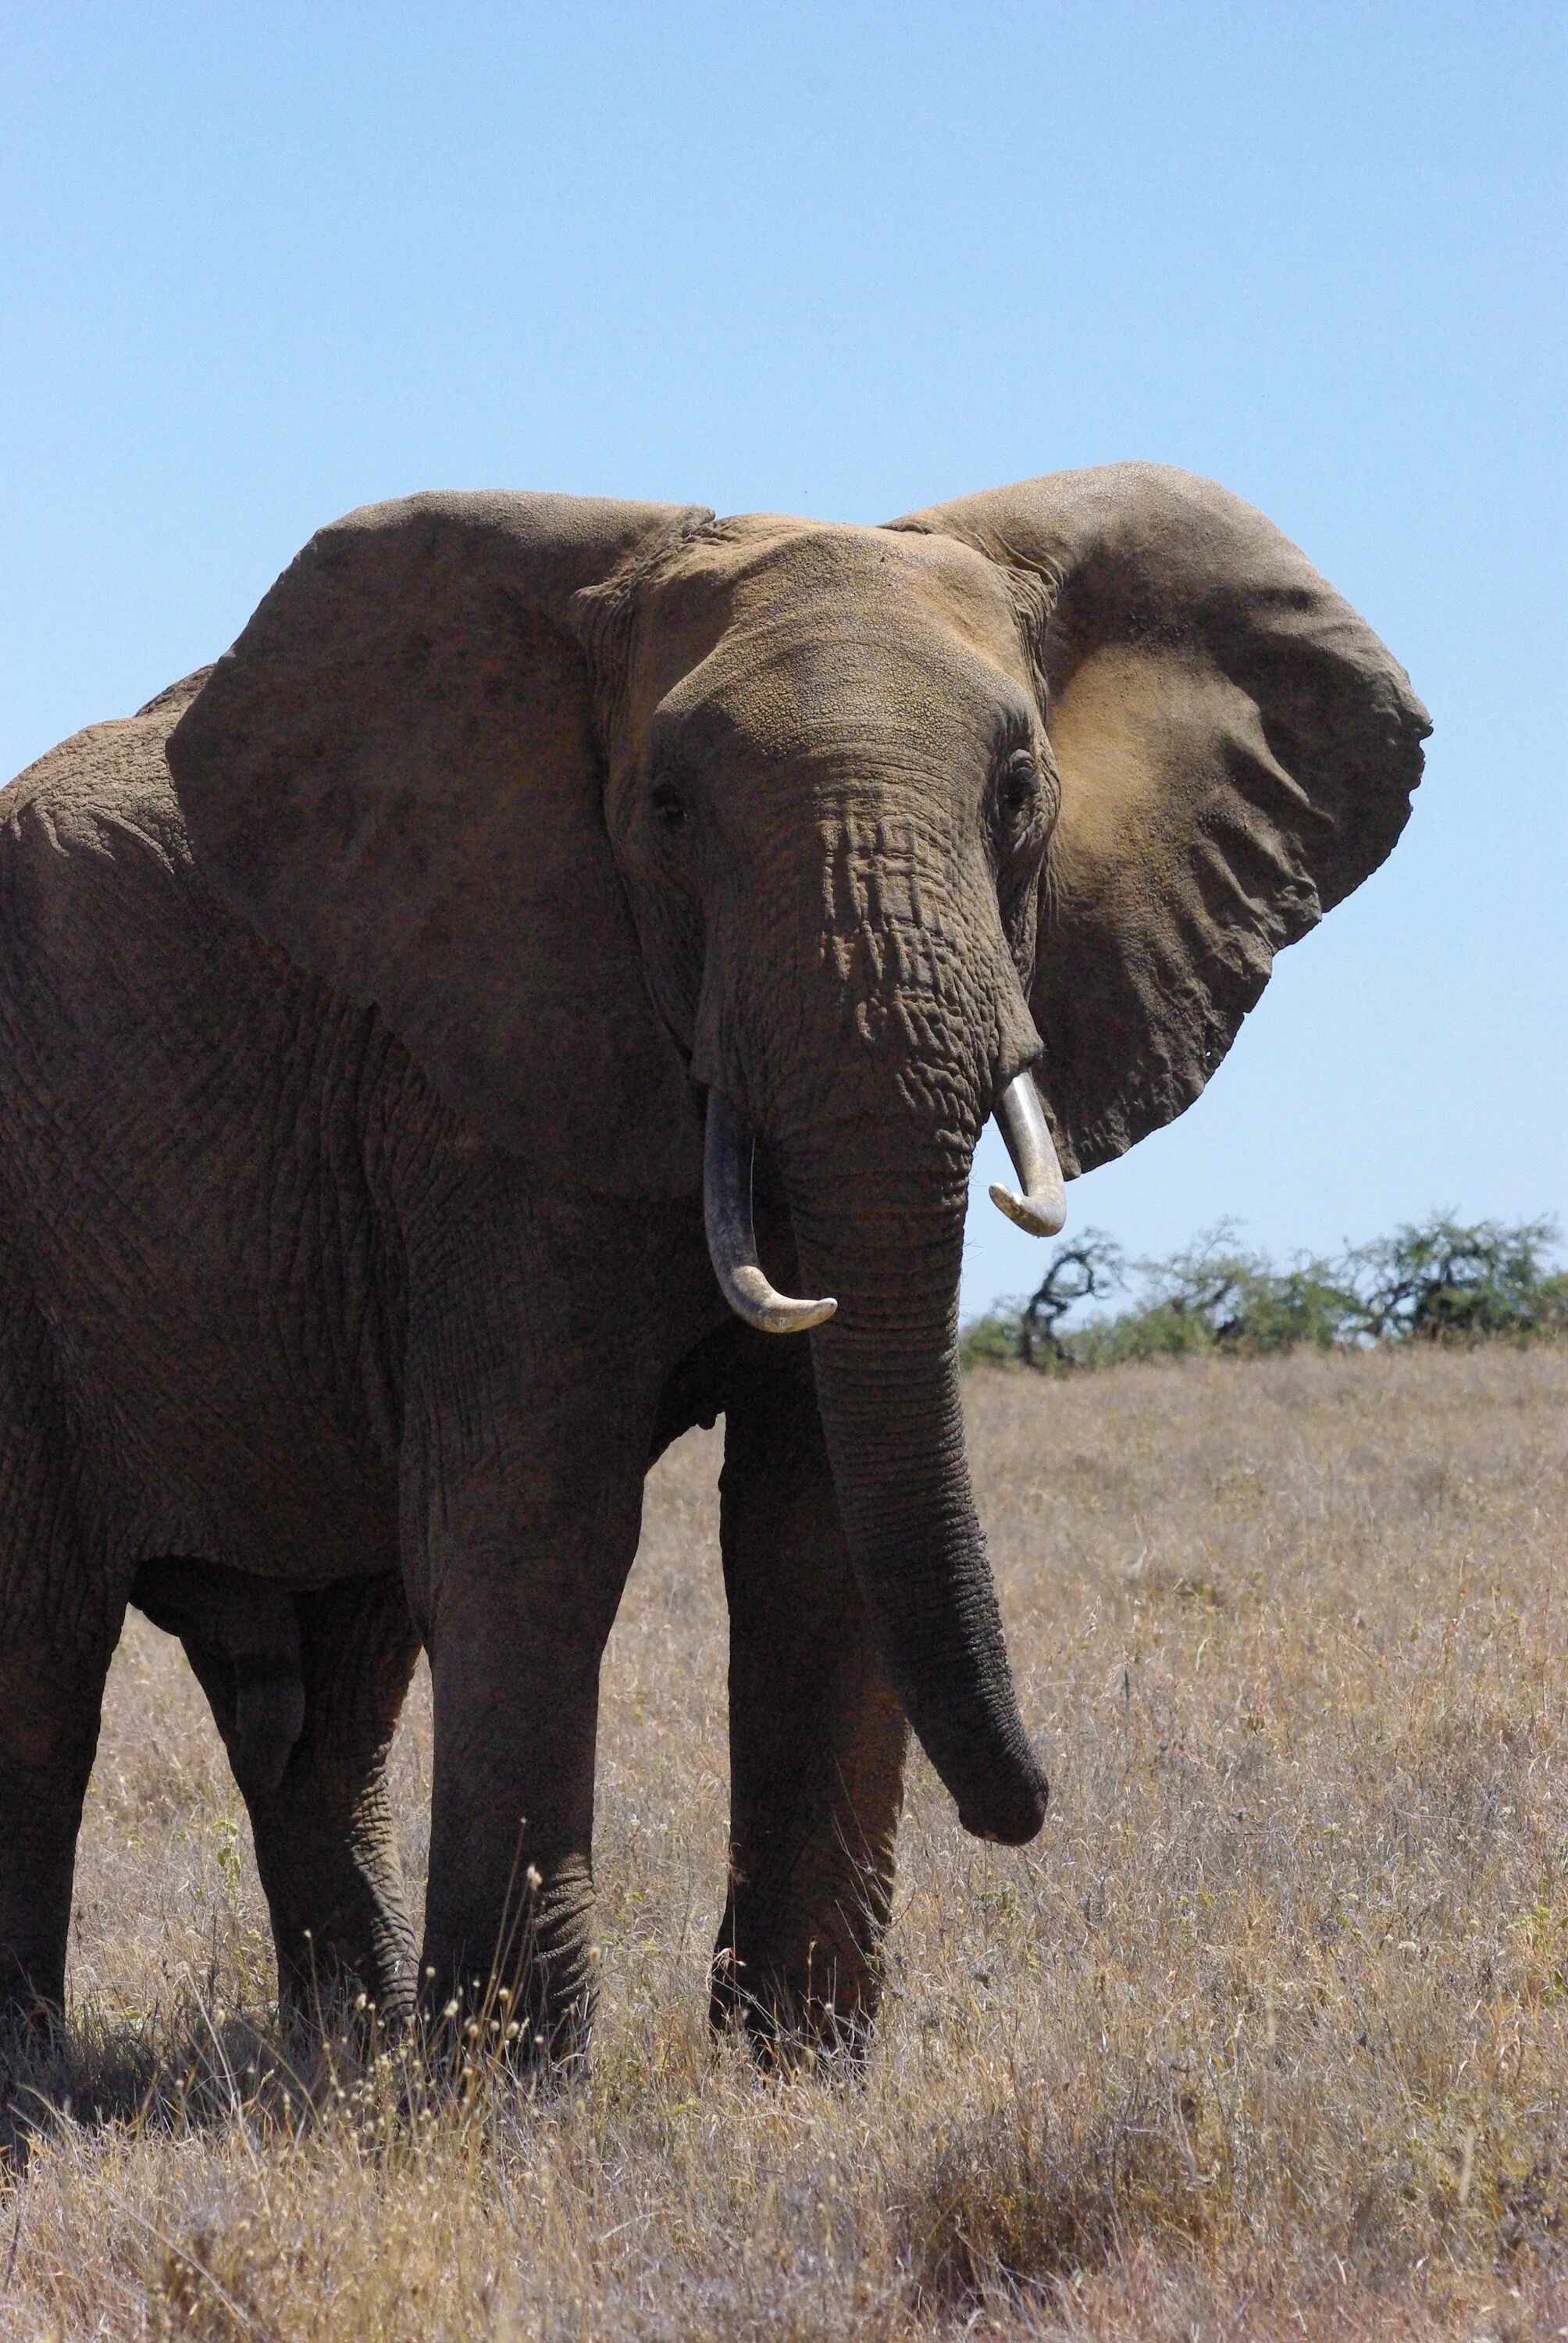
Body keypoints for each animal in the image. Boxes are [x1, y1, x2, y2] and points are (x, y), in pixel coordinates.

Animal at [0, 466, 1424, 2062]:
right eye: (667, 811)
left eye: (1016, 793)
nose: (1031, 1809)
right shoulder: (477, 1083)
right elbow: (535, 1519)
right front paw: (517, 2079)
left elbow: (817, 1526)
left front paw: (795, 2066)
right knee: (41, 1662)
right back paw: (50, 2081)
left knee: (332, 1687)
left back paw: (347, 2051)